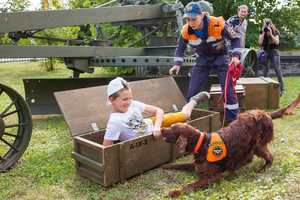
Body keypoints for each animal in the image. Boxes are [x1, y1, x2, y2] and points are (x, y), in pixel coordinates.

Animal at [162, 93, 300, 197]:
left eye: (171, 128)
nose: (162, 129)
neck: (202, 143)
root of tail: (265, 113)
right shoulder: (195, 165)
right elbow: (178, 165)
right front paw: (165, 167)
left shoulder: (213, 177)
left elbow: (191, 185)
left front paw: (174, 191)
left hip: (258, 144)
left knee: (269, 157)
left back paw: (261, 169)